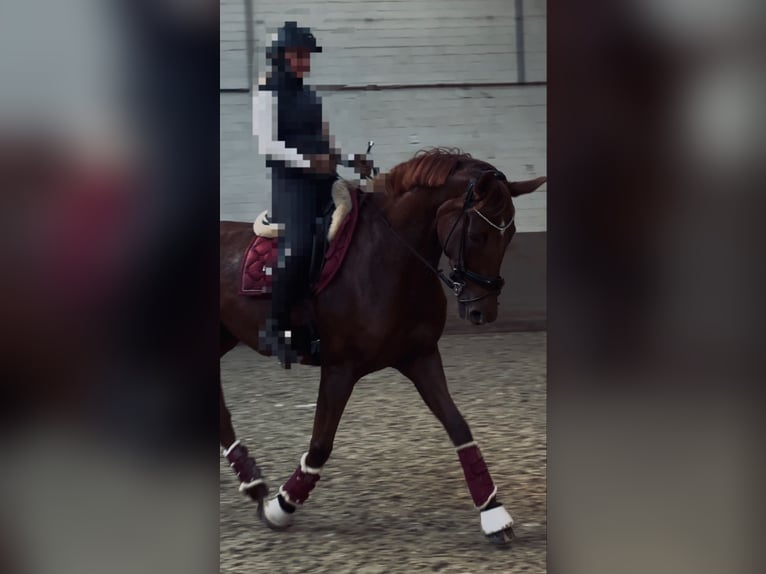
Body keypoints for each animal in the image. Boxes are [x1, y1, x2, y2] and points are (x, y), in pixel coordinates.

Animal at [219, 147, 548, 544]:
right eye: (478, 236)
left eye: (510, 233)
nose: (483, 311)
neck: (391, 259)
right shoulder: (340, 369)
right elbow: (321, 444)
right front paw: (281, 507)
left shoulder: (421, 357)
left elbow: (459, 427)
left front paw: (493, 513)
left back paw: (253, 483)